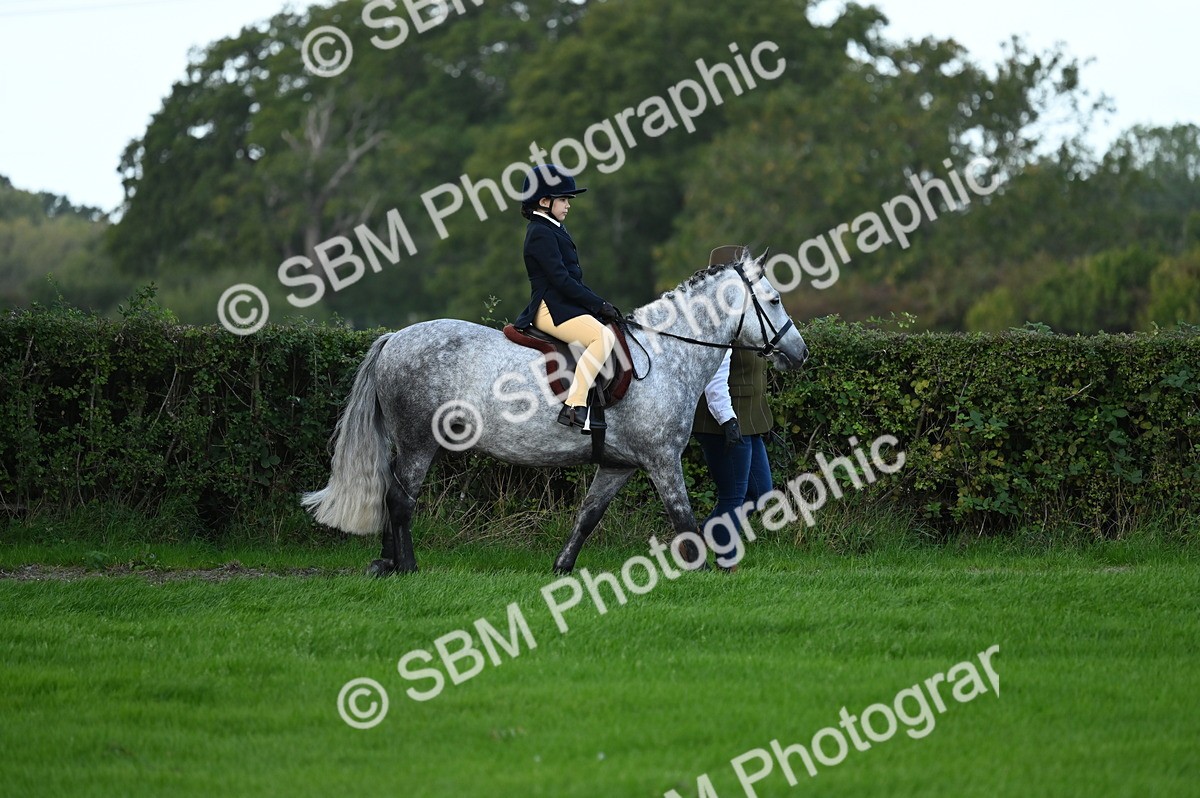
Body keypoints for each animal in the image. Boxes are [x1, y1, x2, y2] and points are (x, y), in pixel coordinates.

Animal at [301, 251, 809, 576]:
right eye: (775, 299)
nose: (800, 353)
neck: (665, 354)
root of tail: (394, 339)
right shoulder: (662, 459)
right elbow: (683, 516)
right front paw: (702, 570)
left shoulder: (619, 465)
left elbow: (588, 514)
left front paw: (562, 567)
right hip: (417, 442)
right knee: (400, 499)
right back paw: (405, 567)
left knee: (391, 494)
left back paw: (385, 563)